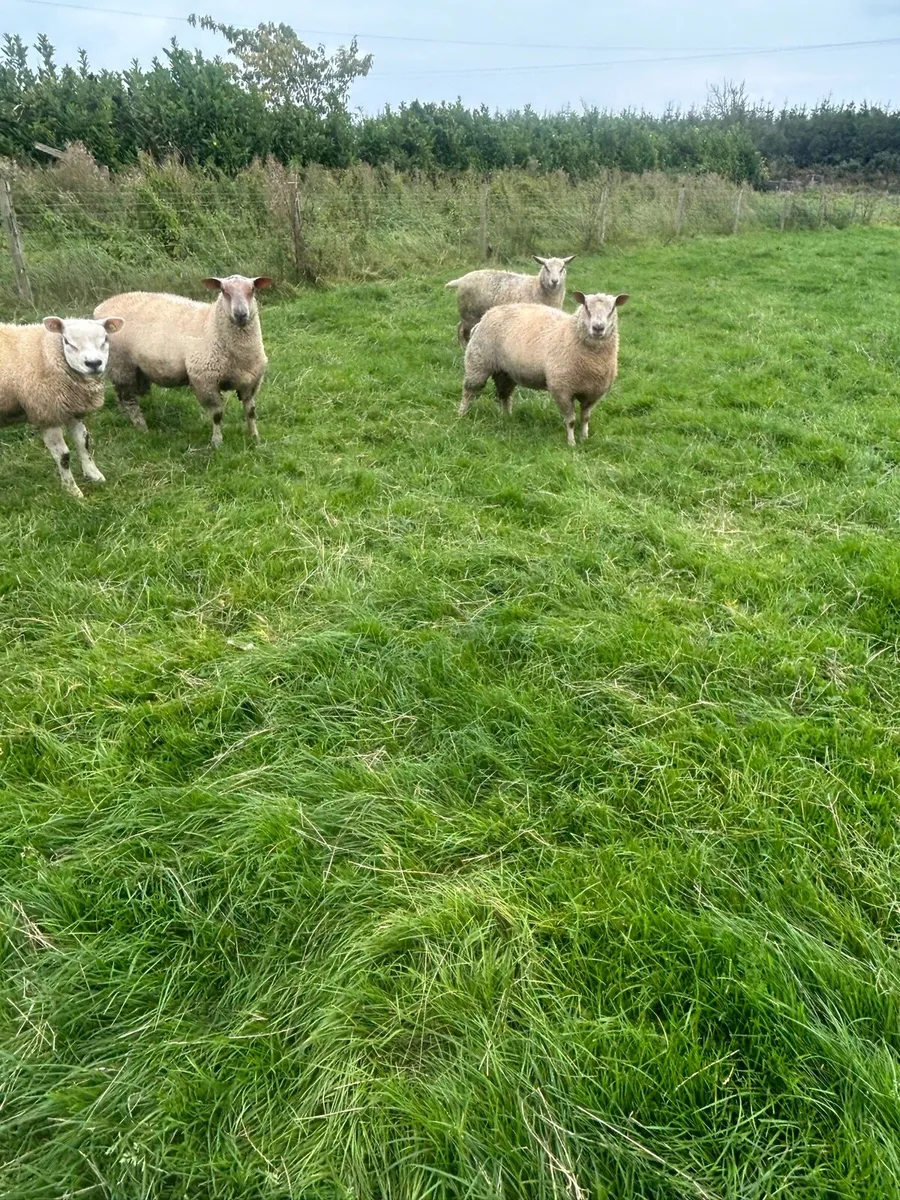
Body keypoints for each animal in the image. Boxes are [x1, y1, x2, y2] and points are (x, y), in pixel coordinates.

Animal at [0, 315, 124, 497]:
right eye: (67, 341)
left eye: (105, 339)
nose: (94, 363)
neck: (45, 355)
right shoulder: (47, 413)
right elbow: (63, 456)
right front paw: (72, 491)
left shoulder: (71, 409)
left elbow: (84, 442)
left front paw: (94, 475)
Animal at [94, 275, 272, 447]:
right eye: (223, 290)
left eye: (252, 290)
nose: (241, 314)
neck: (211, 324)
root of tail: (100, 308)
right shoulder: (205, 381)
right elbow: (217, 415)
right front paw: (217, 442)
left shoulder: (251, 381)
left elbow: (251, 412)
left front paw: (255, 438)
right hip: (121, 363)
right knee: (129, 399)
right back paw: (141, 427)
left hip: (128, 368)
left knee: (121, 395)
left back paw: (126, 418)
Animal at [445, 255, 576, 347]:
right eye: (546, 268)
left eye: (562, 268)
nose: (554, 281)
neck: (536, 287)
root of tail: (461, 279)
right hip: (468, 312)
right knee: (462, 330)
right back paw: (464, 346)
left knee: (460, 326)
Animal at [459, 291, 629, 447]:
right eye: (586, 307)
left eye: (612, 308)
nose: (598, 328)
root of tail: (486, 315)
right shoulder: (562, 389)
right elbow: (571, 420)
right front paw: (571, 443)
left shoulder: (593, 393)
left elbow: (585, 418)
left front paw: (584, 438)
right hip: (478, 362)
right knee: (469, 391)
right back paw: (461, 415)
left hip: (505, 372)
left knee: (504, 395)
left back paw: (507, 418)